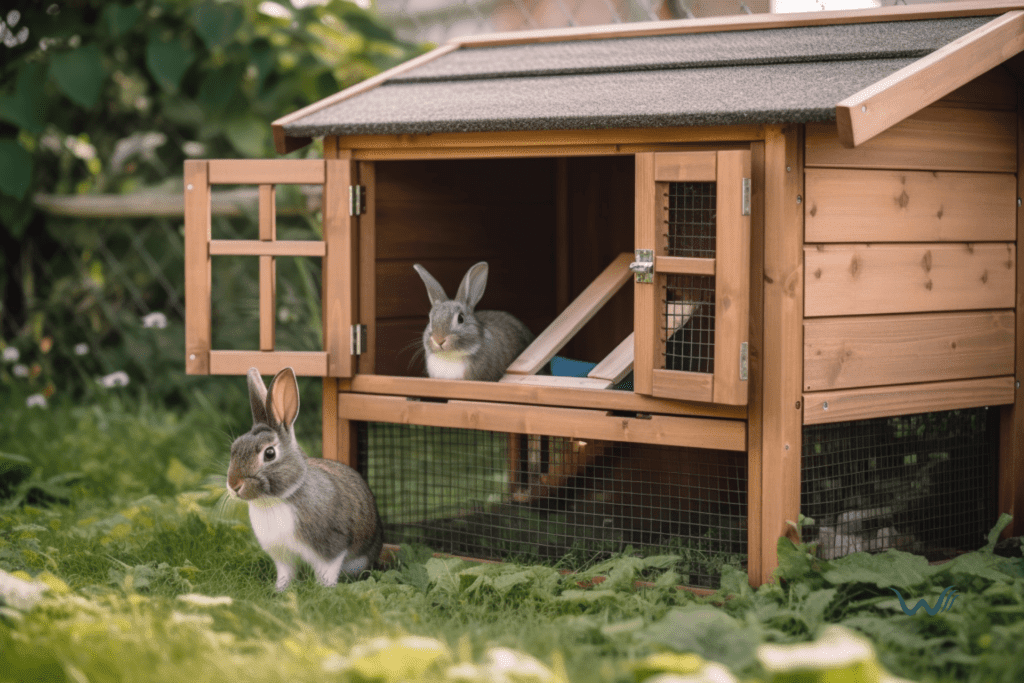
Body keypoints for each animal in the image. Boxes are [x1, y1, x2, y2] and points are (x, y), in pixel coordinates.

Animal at [227, 367, 383, 591]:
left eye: (269, 453)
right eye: (234, 448)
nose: (234, 485)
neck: (277, 499)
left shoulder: (331, 549)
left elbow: (327, 573)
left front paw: (324, 591)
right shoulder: (283, 557)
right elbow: (286, 574)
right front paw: (280, 590)